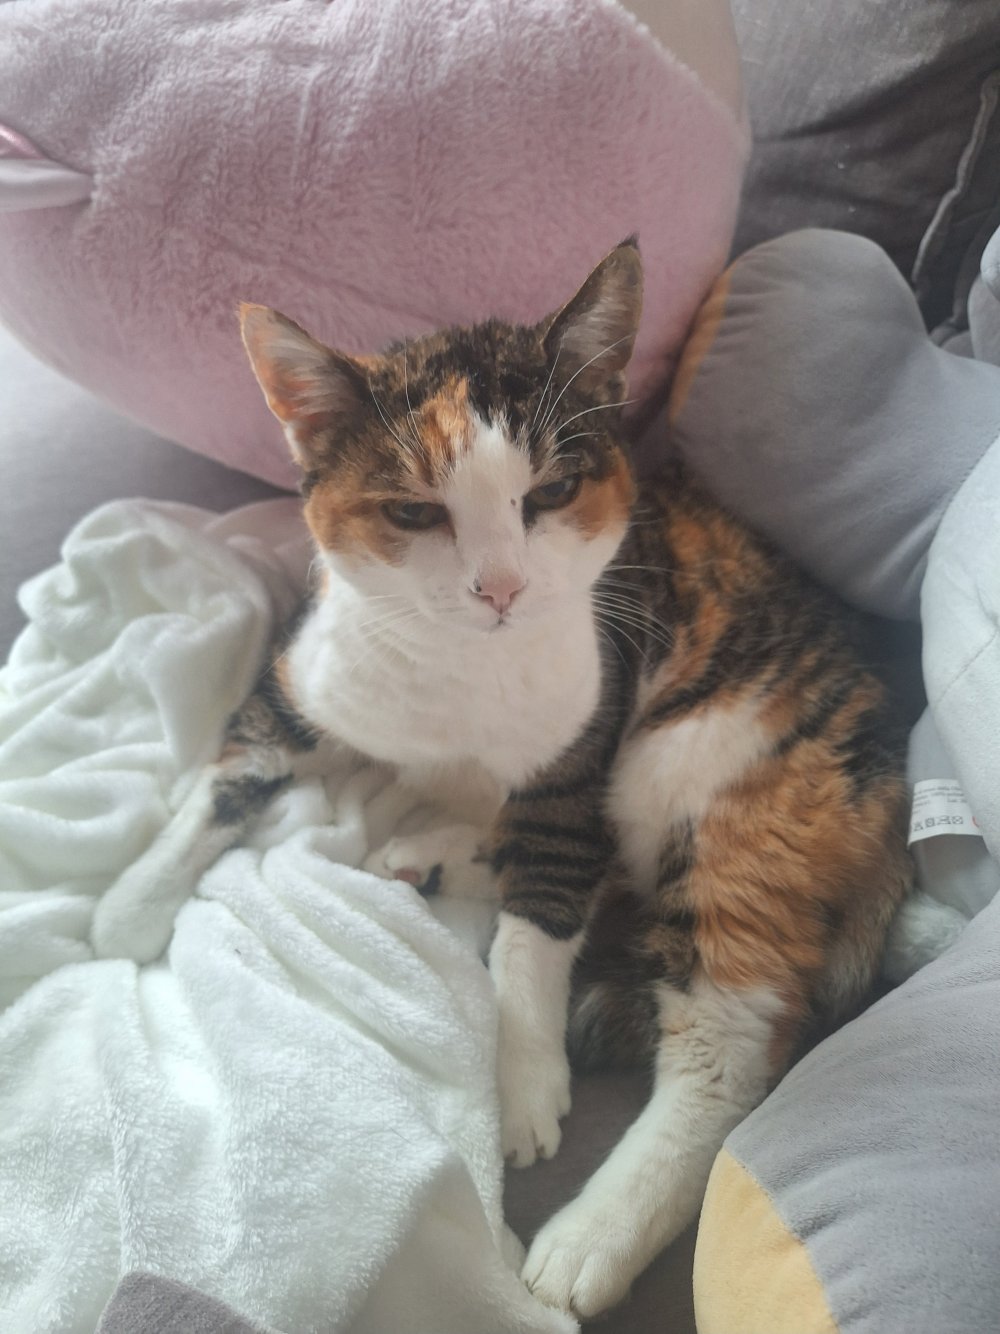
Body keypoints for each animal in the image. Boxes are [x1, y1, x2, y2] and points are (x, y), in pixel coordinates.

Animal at [197, 238, 911, 1320]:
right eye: (414, 511)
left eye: (549, 493)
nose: (501, 587)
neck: (456, 678)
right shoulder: (299, 684)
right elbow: (216, 789)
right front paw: (127, 910)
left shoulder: (578, 763)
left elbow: (534, 939)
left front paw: (523, 1085)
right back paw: (436, 854)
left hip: (706, 772)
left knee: (725, 1053)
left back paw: (592, 1236)